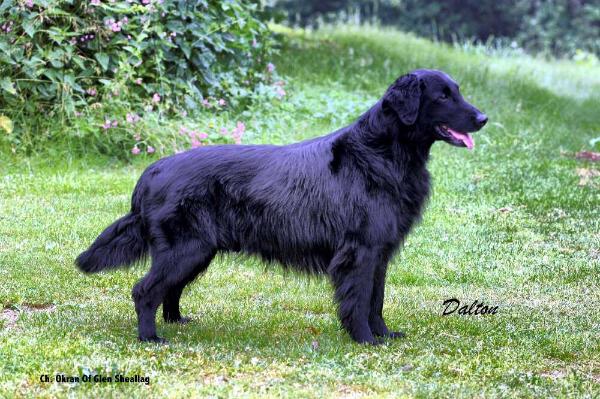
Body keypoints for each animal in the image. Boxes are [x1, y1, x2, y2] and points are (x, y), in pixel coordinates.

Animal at [76, 69, 488, 344]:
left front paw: (385, 335)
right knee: (145, 290)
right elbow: (359, 301)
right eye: (442, 97)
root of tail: (153, 170)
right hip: (186, 248)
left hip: (197, 251)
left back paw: (177, 322)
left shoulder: (380, 253)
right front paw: (365, 340)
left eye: (457, 91)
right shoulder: (361, 251)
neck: (382, 153)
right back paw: (150, 337)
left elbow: (377, 301)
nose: (483, 118)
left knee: (169, 289)